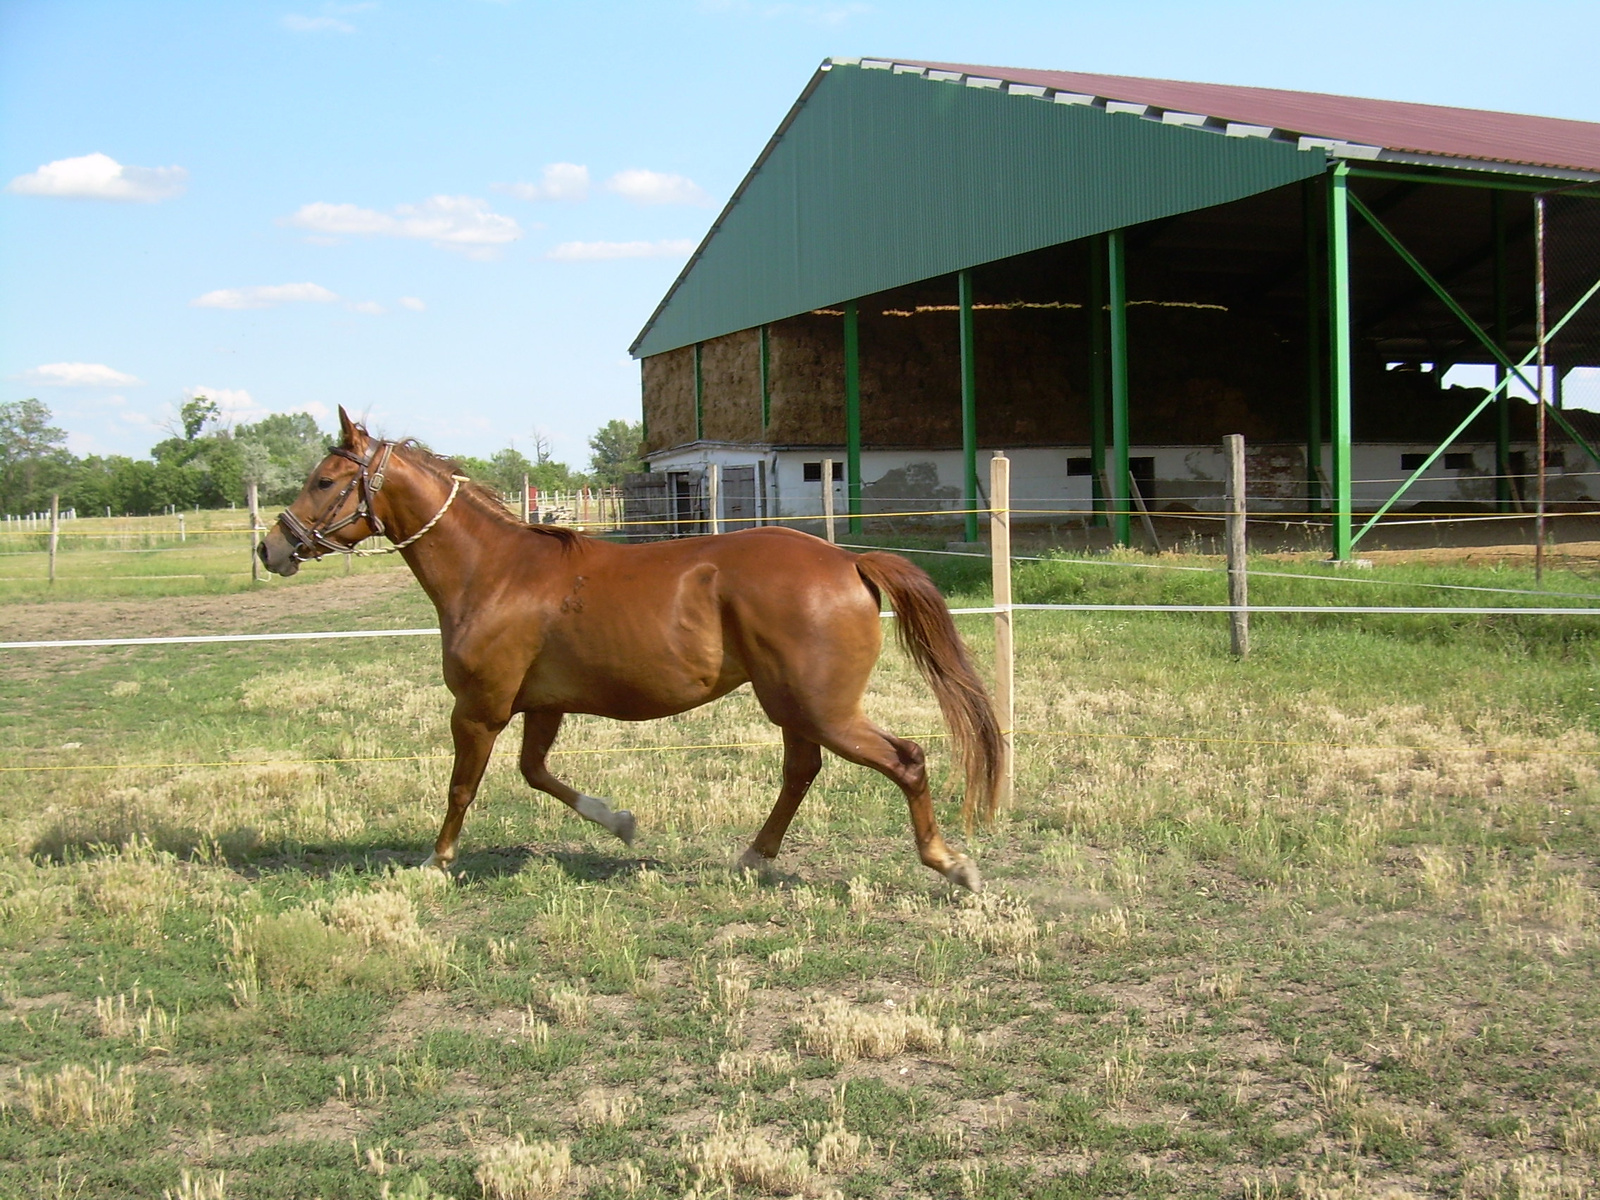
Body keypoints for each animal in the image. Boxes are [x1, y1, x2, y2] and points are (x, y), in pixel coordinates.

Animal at [260, 412, 998, 896]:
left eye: (324, 480)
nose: (271, 547)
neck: (493, 572)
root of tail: (848, 561)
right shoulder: (542, 708)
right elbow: (536, 774)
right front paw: (621, 824)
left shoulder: (478, 708)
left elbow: (462, 786)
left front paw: (435, 864)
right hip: (795, 705)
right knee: (802, 771)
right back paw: (753, 857)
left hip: (822, 707)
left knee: (905, 760)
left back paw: (951, 865)